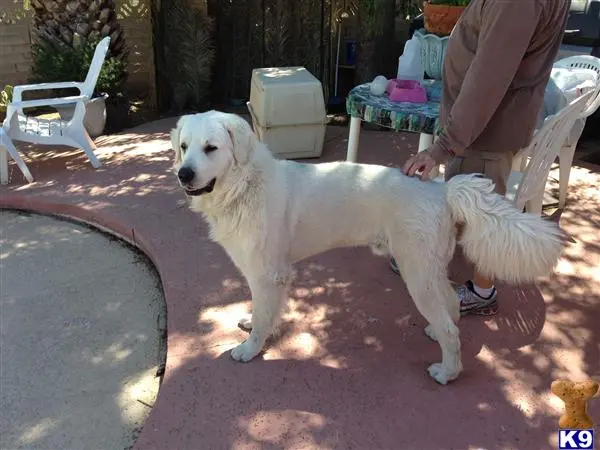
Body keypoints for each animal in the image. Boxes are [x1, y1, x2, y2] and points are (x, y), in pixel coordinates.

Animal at [171, 109, 564, 384]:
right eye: (184, 148)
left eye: (211, 149)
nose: (183, 174)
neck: (244, 185)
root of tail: (442, 189)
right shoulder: (275, 275)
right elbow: (267, 312)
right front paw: (258, 327)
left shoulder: (267, 273)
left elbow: (264, 315)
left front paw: (251, 348)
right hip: (428, 271)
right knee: (450, 306)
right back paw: (436, 333)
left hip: (416, 276)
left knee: (452, 330)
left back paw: (446, 372)